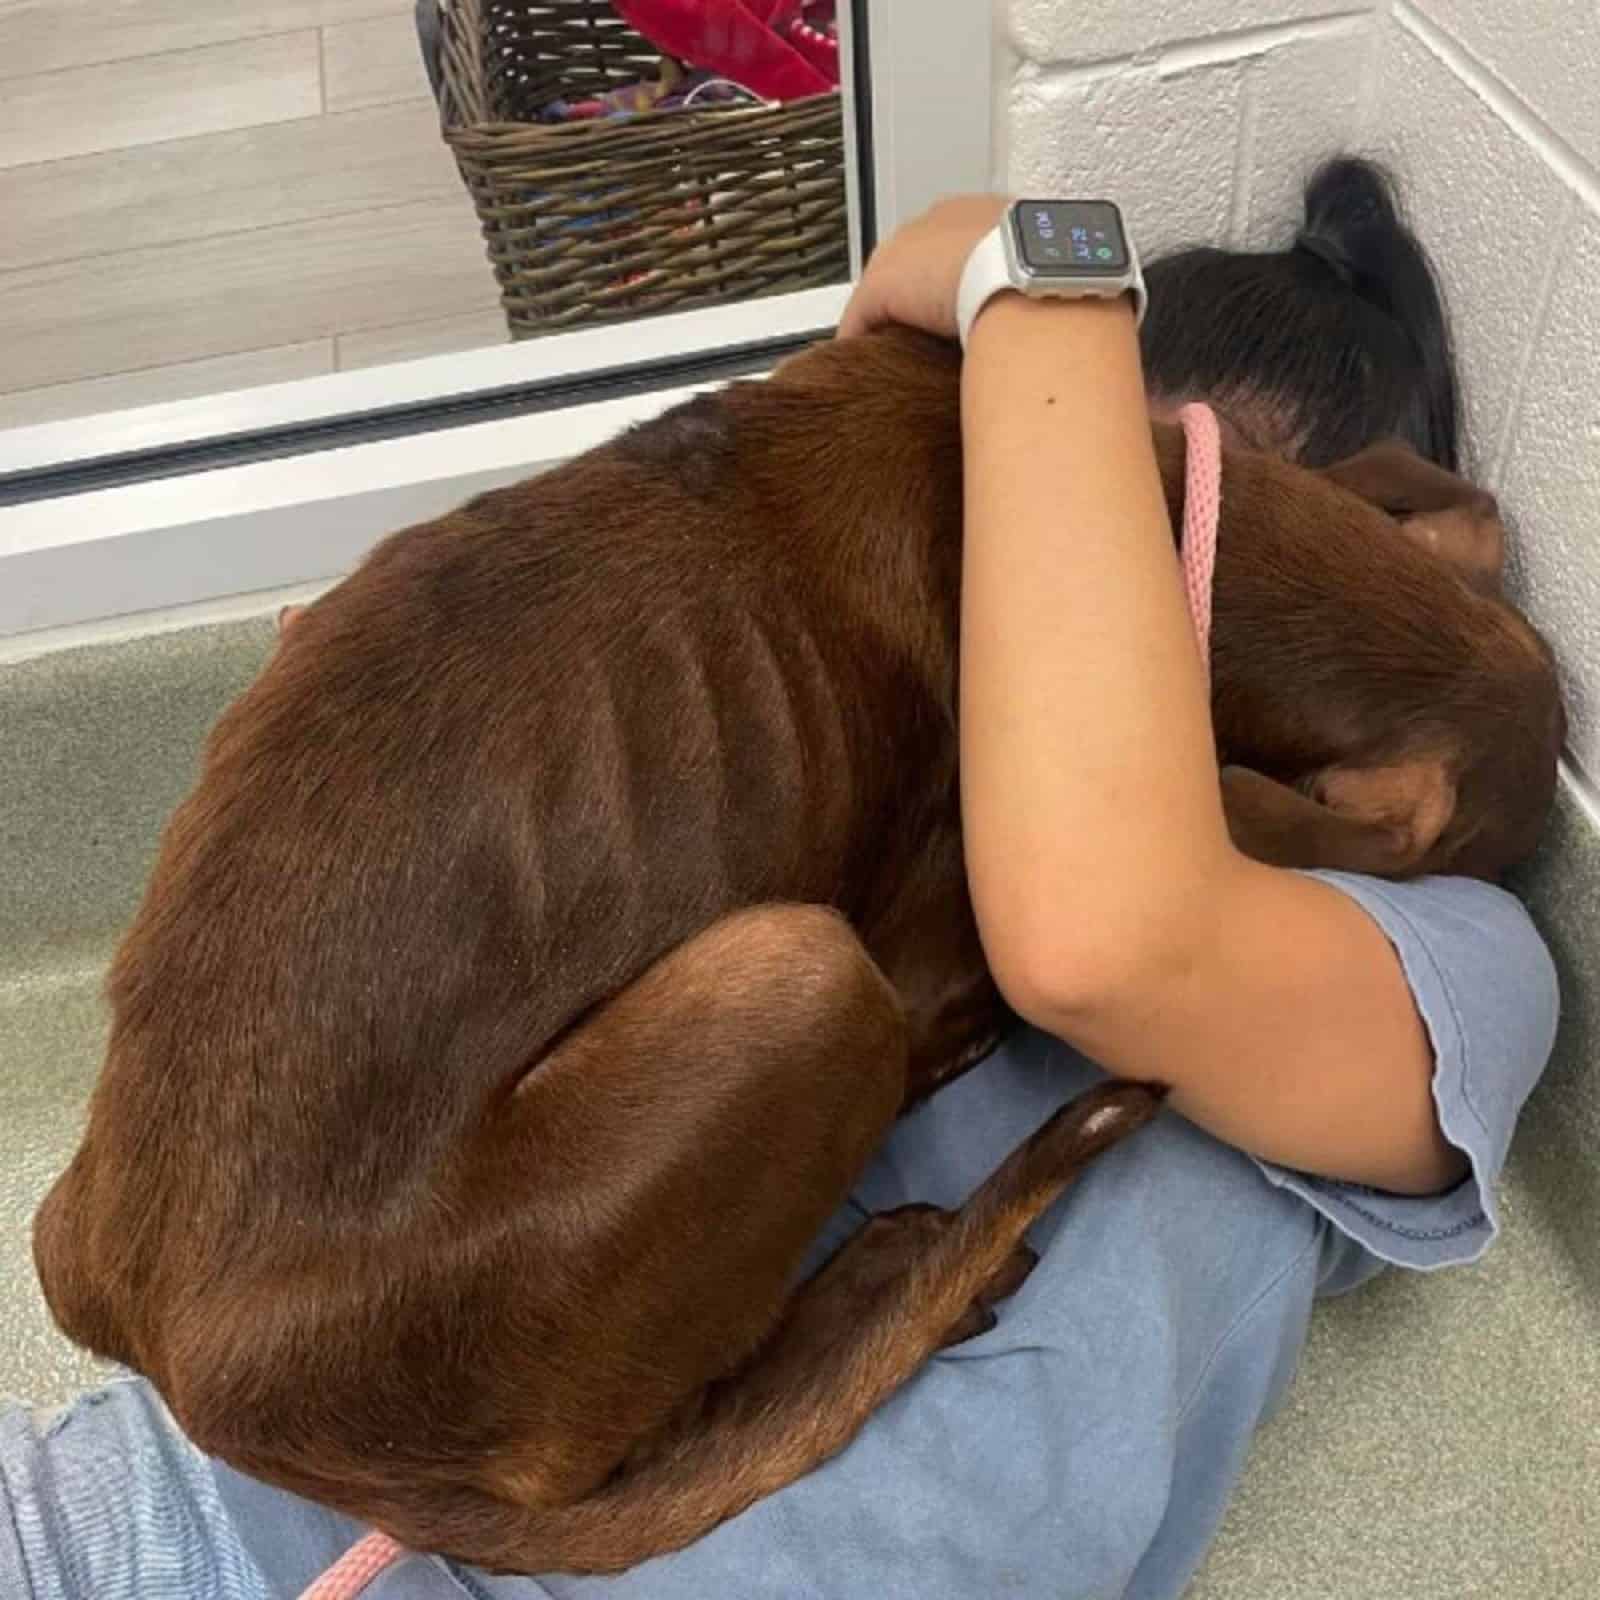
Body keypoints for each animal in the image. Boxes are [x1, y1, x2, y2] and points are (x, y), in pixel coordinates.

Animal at [34, 324, 1561, 1574]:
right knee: (655, 1432)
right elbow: (954, 1000)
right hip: (799, 978)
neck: (1144, 532)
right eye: (1496, 868)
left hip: (66, 1223)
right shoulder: (920, 946)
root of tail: (208, 1383)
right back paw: (892, 1284)